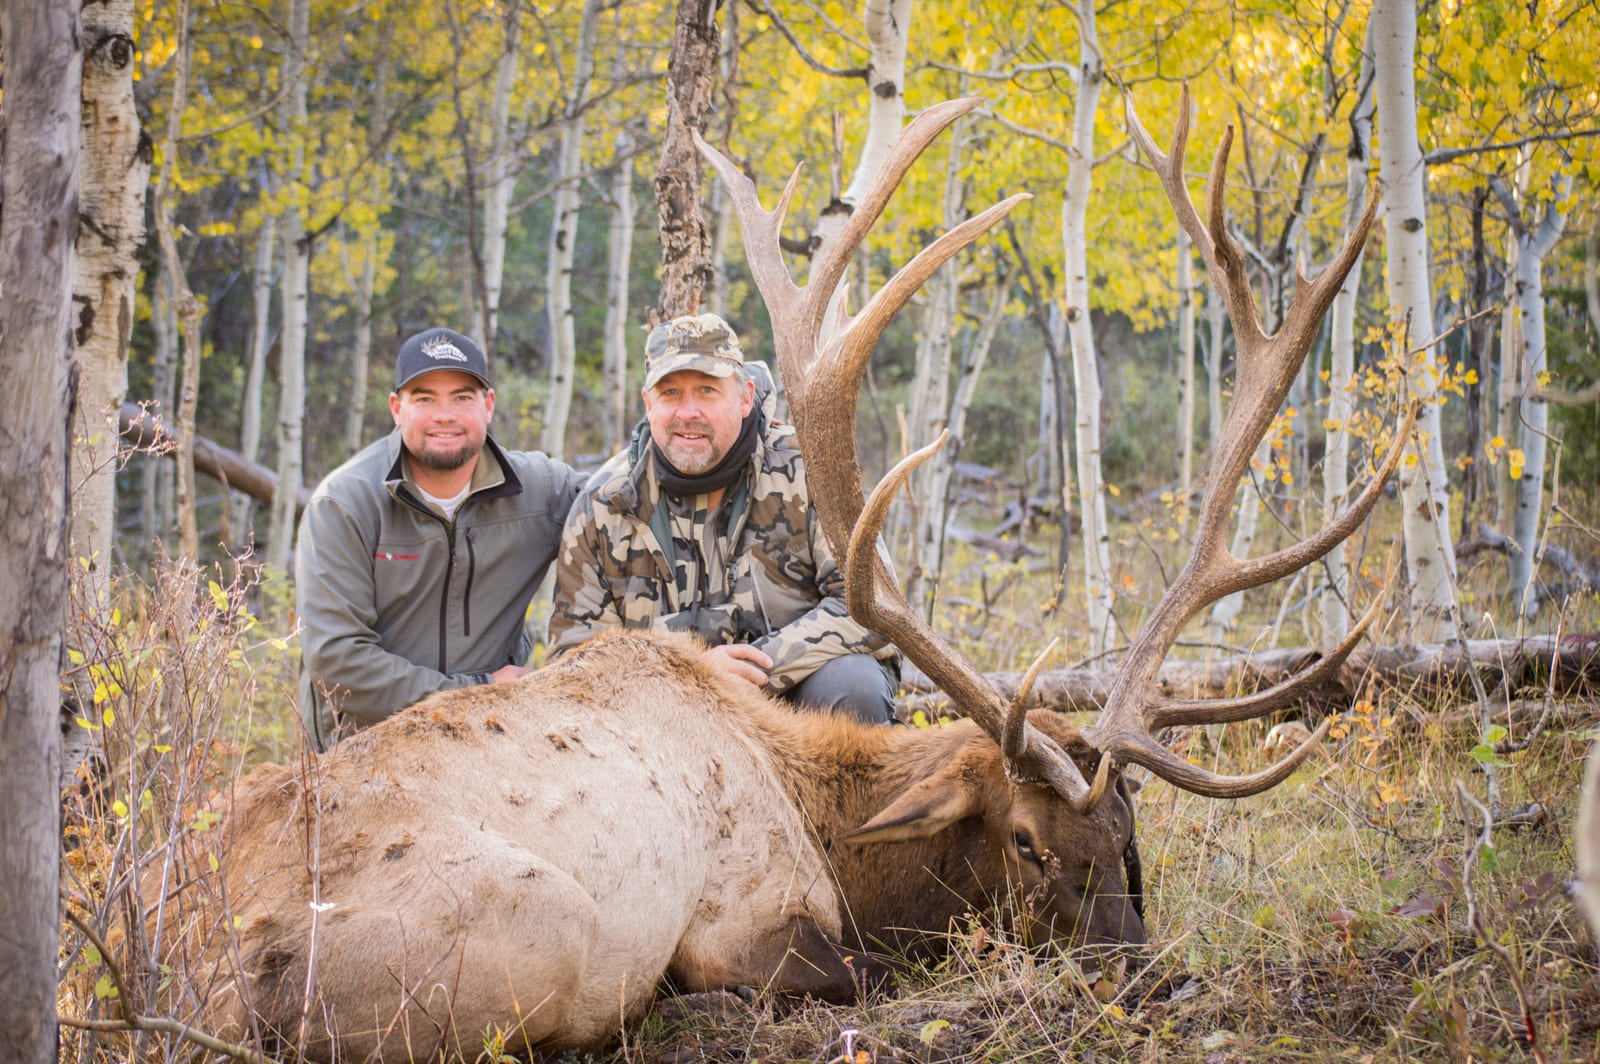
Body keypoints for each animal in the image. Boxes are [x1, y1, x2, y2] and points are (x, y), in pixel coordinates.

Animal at [116, 90, 1412, 1060]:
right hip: (549, 928)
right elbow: (842, 975)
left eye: (1132, 839)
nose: (1137, 978)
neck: (821, 808)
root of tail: (173, 966)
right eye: (1028, 840)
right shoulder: (751, 916)